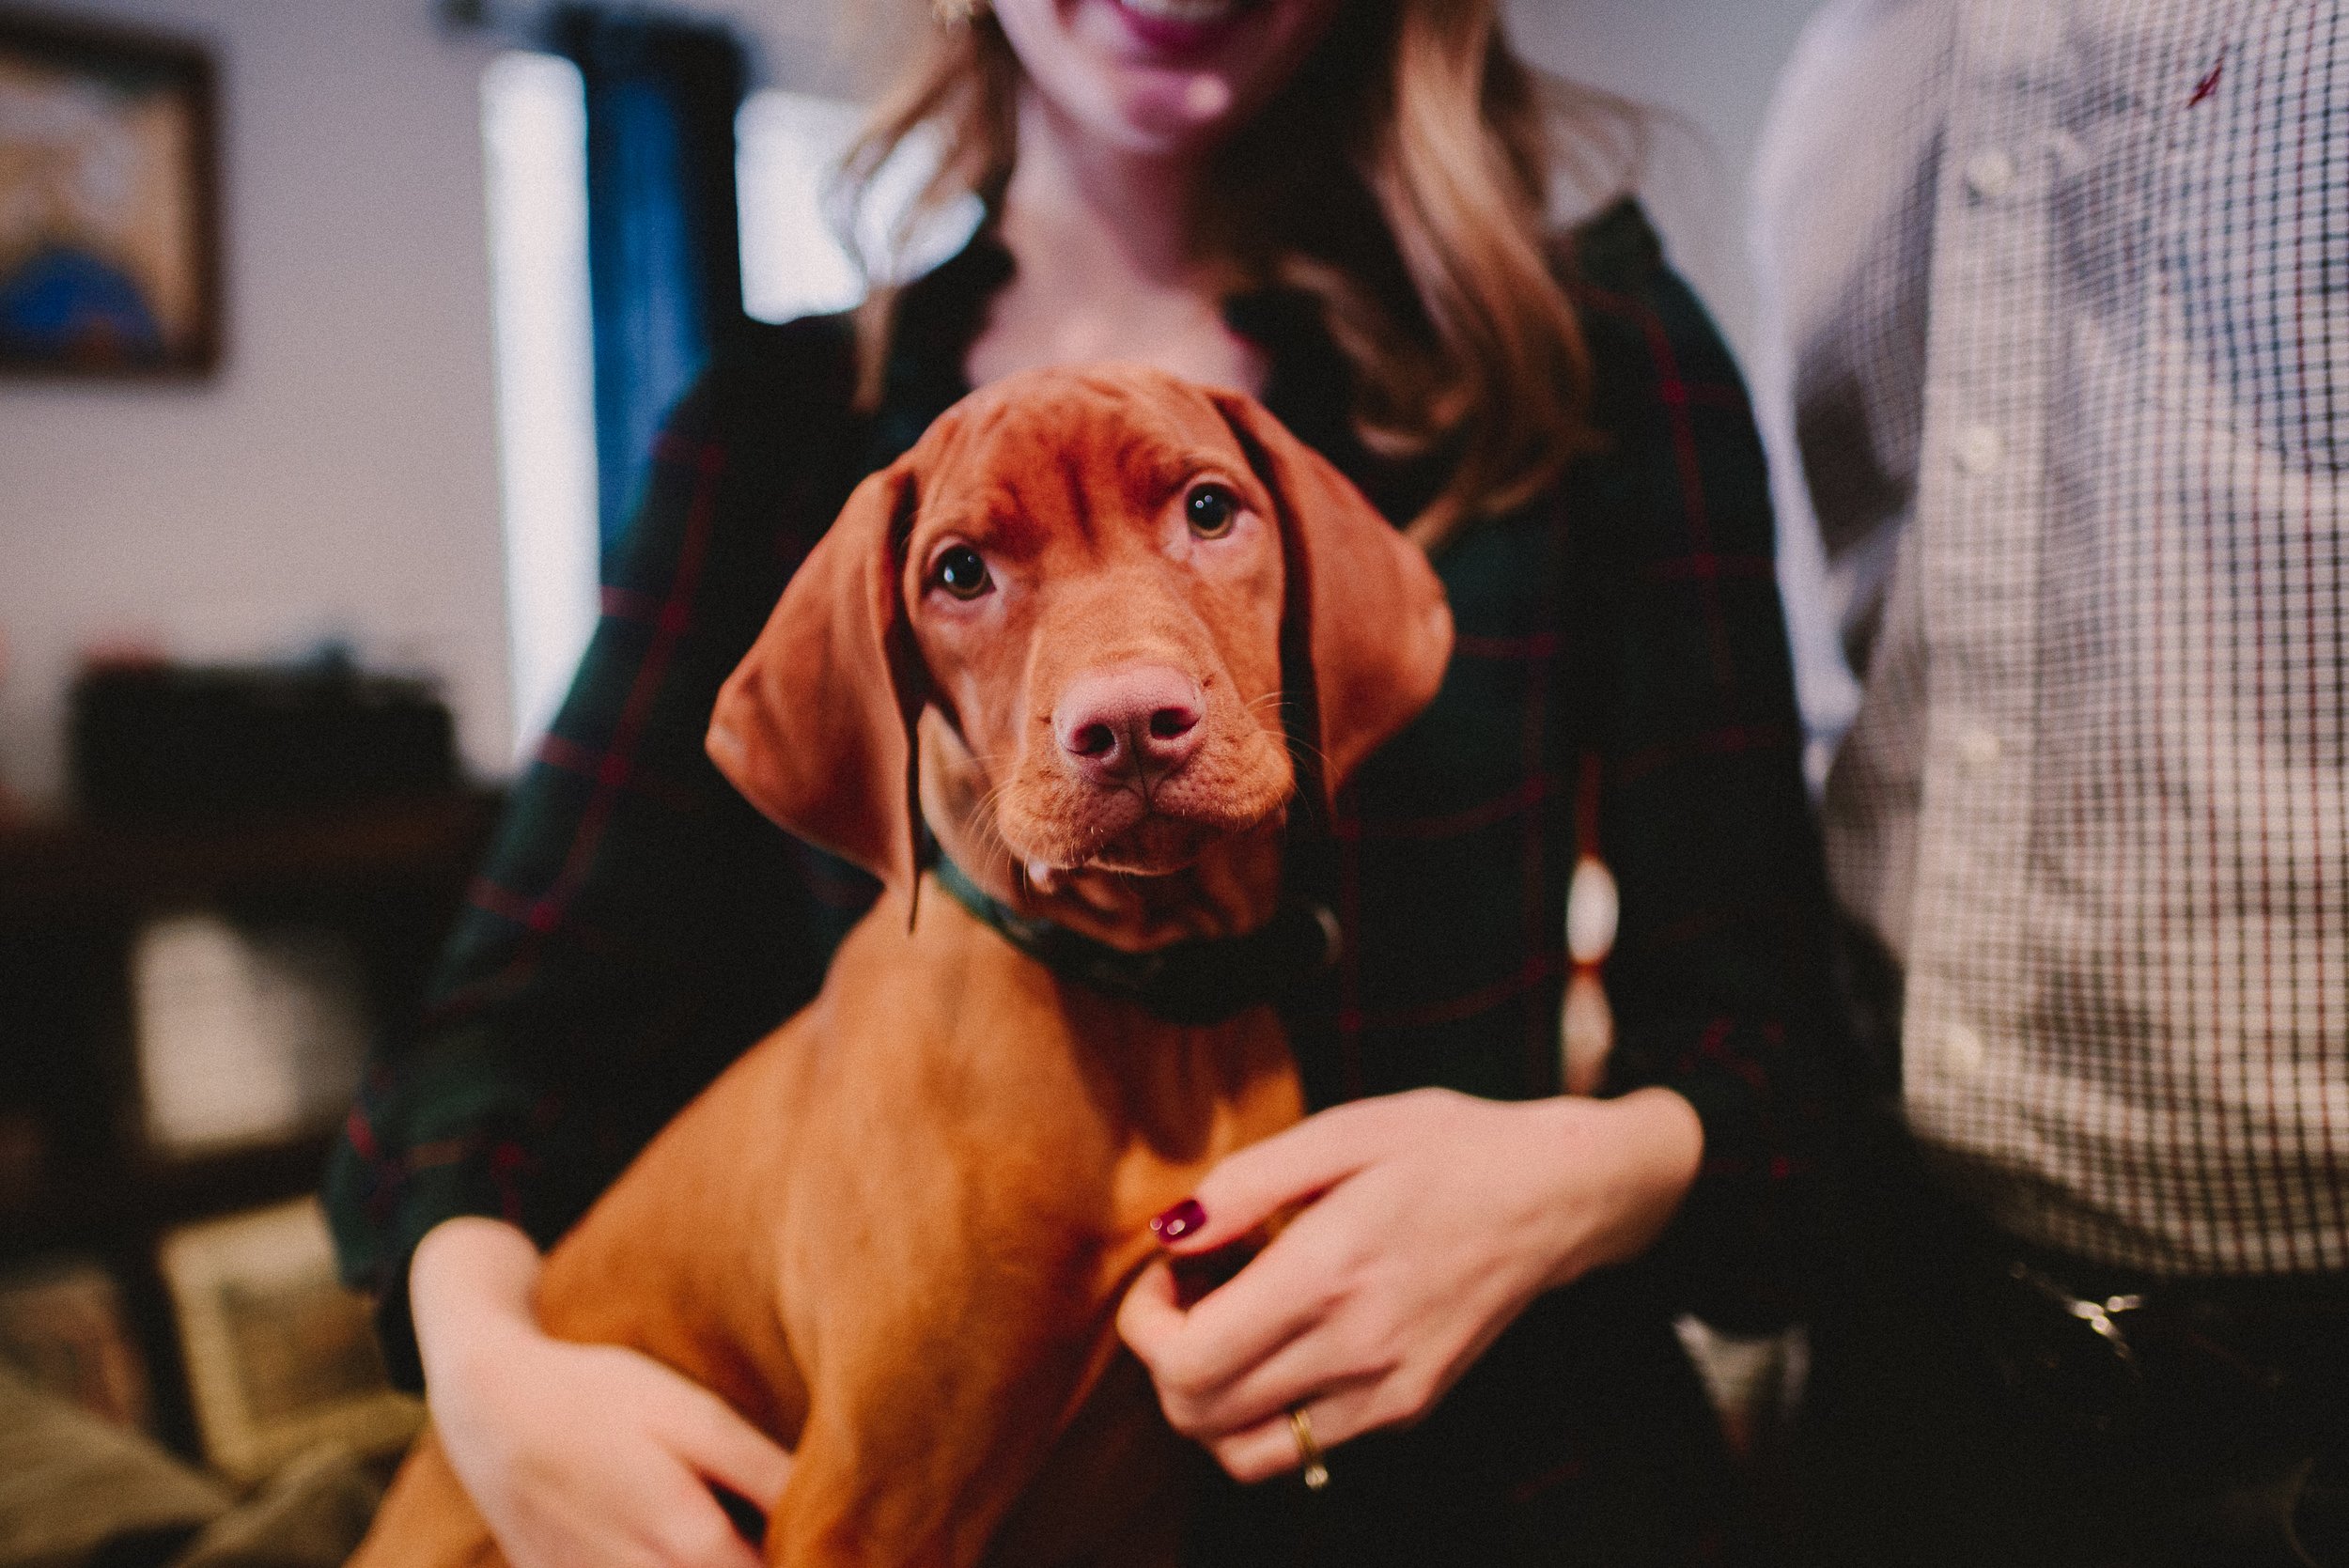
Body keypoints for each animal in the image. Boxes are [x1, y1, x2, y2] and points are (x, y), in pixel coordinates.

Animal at [348, 364, 1447, 1568]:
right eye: (960, 572)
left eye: (1209, 509)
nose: (1127, 723)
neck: (1135, 994)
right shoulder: (862, 1503)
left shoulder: (1140, 1507)